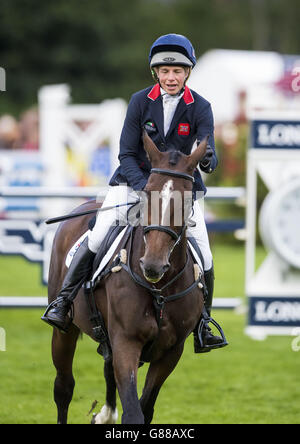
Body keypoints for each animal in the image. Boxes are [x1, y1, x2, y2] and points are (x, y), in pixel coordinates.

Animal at [47, 134, 207, 424]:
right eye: (146, 192)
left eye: (187, 200)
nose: (152, 265)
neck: (160, 290)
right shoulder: (126, 342)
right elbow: (133, 412)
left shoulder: (171, 352)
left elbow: (146, 407)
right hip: (65, 331)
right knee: (63, 388)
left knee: (107, 369)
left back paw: (106, 414)